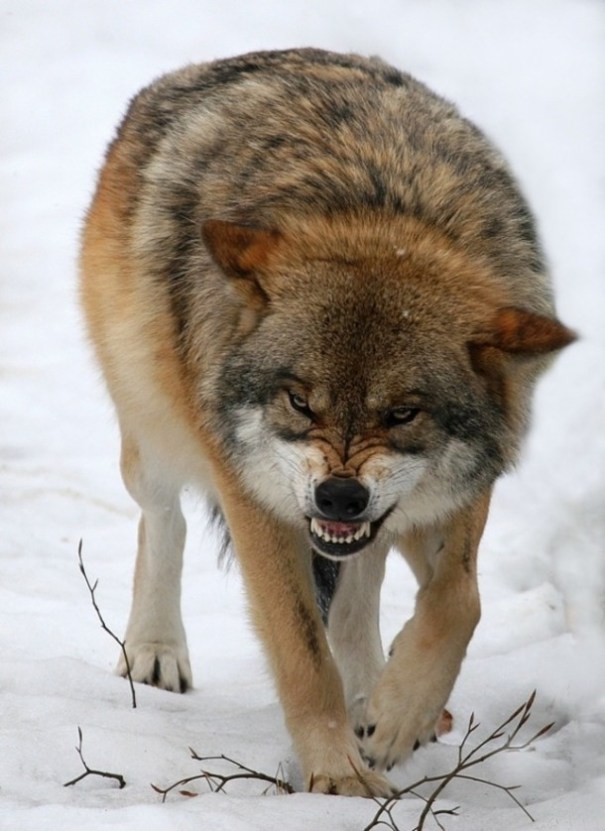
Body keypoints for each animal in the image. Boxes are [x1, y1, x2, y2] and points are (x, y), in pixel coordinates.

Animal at [80, 48, 574, 796]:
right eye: (299, 402)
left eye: (402, 413)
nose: (338, 496)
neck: (378, 216)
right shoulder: (256, 501)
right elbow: (304, 655)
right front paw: (338, 776)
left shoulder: (458, 490)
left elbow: (458, 599)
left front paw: (397, 714)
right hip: (153, 426)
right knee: (163, 518)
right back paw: (156, 650)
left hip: (388, 518)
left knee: (359, 593)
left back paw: (374, 693)